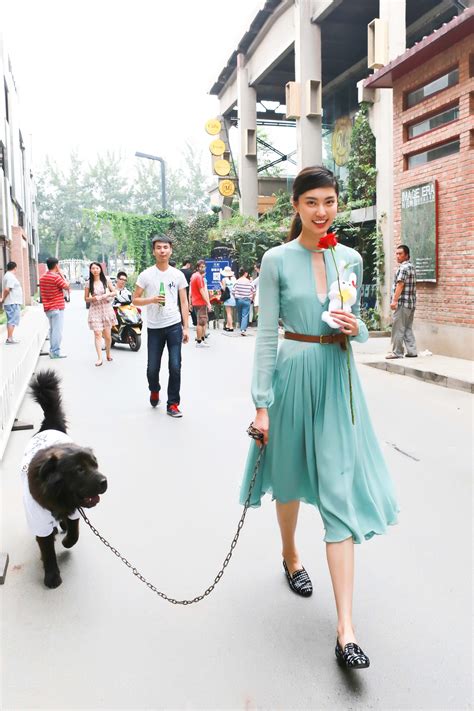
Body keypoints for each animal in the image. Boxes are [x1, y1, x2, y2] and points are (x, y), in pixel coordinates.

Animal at [22, 370, 107, 588]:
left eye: (95, 464)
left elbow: (74, 533)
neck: (59, 498)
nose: (104, 481)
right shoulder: (39, 522)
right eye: (79, 470)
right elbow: (47, 550)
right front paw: (52, 576)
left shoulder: (75, 512)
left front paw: (66, 541)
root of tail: (50, 425)